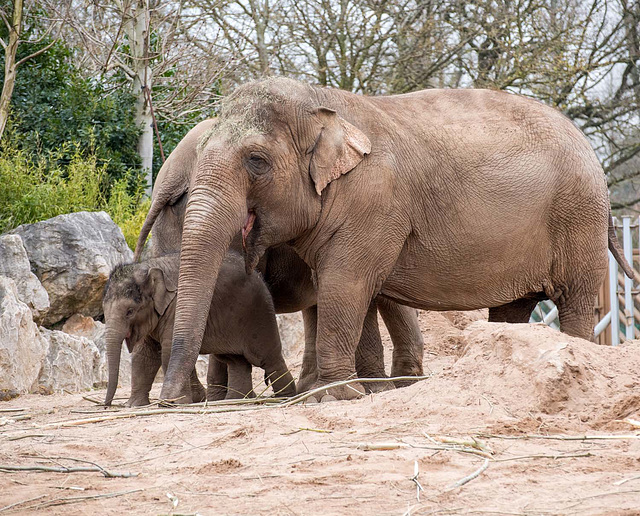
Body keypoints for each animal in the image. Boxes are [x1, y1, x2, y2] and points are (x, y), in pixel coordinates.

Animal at [103, 251, 298, 408]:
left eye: (130, 311)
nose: (106, 405)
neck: (150, 266)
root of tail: (260, 277)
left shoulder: (176, 309)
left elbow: (168, 351)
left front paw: (175, 403)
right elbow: (144, 356)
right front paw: (134, 405)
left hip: (259, 315)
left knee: (267, 358)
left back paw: (285, 397)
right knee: (235, 360)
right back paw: (235, 400)